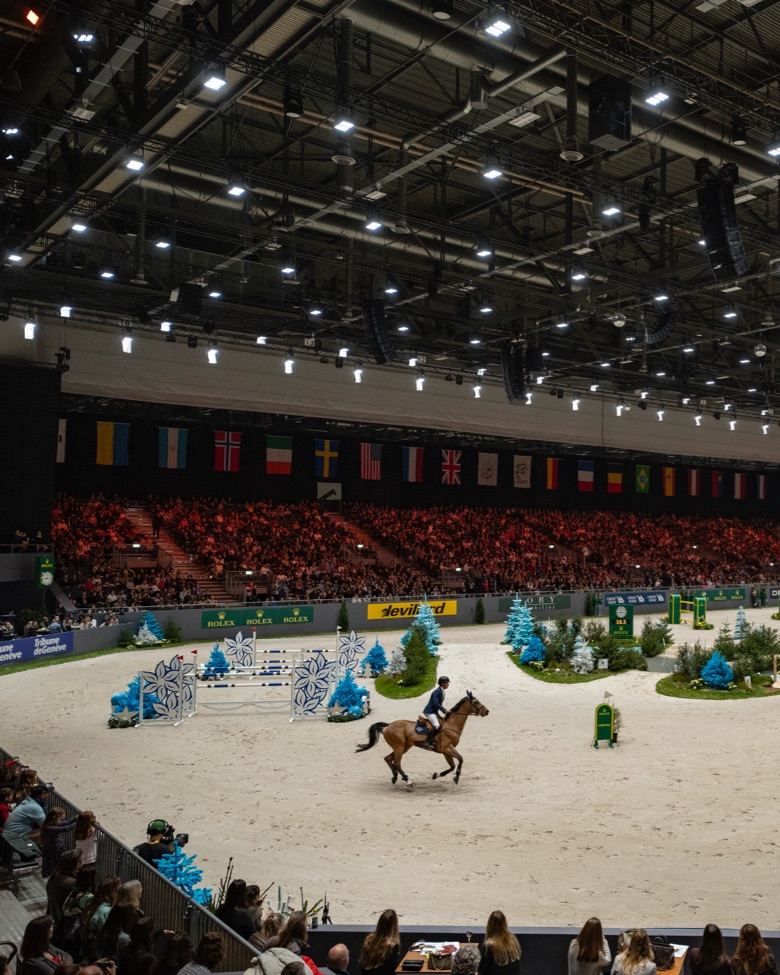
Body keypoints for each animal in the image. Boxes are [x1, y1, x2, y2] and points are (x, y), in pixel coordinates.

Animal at [354, 692, 488, 788]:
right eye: (475, 702)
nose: (486, 711)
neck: (452, 725)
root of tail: (389, 724)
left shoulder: (445, 751)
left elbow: (452, 766)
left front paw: (436, 775)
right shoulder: (447, 748)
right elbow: (460, 759)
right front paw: (456, 778)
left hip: (404, 746)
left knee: (388, 759)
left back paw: (395, 777)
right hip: (399, 746)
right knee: (396, 763)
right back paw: (408, 781)